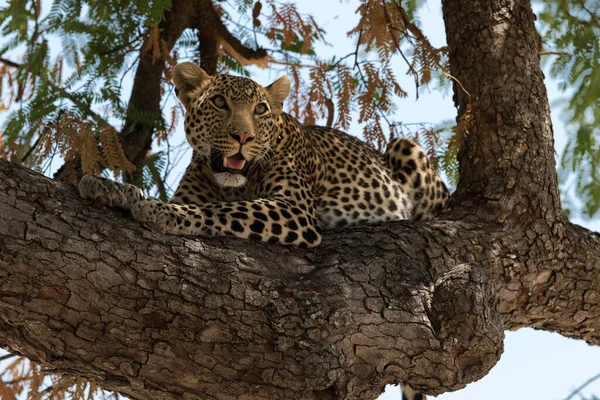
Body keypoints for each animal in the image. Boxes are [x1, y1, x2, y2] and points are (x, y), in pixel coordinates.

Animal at [77, 61, 448, 248]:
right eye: (219, 102)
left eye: (260, 110)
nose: (243, 136)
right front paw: (104, 186)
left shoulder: (294, 209)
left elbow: (221, 210)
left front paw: (161, 211)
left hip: (405, 146)